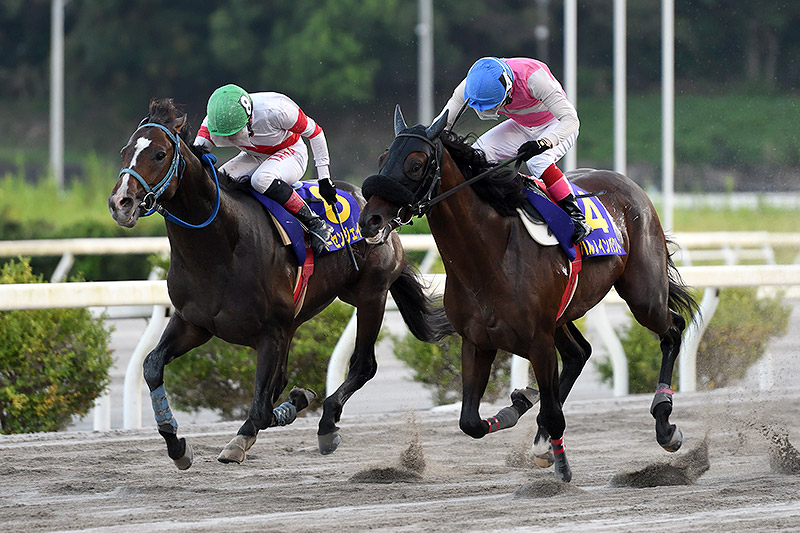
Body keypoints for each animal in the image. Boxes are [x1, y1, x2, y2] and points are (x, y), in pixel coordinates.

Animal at [108, 97, 454, 468]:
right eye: (125, 151)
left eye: (159, 154)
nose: (120, 203)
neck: (218, 249)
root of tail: (378, 210)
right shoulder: (193, 322)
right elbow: (152, 366)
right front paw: (175, 442)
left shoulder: (270, 332)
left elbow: (261, 407)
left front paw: (246, 436)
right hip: (303, 318)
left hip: (370, 295)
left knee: (363, 365)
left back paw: (327, 423)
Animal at [358, 106, 700, 480]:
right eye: (382, 158)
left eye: (416, 164)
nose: (369, 220)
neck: (489, 254)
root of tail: (630, 186)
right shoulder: (477, 342)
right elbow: (470, 422)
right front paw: (518, 406)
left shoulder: (538, 341)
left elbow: (552, 413)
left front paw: (561, 467)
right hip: (564, 315)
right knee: (579, 353)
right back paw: (537, 426)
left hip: (643, 295)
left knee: (672, 329)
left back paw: (665, 423)